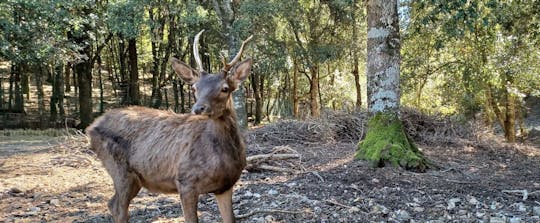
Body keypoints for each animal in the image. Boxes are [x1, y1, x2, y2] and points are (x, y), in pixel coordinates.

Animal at [87, 29, 255, 223]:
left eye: (225, 88)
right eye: (194, 88)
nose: (198, 108)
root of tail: (90, 127)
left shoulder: (225, 186)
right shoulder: (185, 181)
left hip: (135, 179)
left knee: (113, 204)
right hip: (119, 169)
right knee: (118, 207)